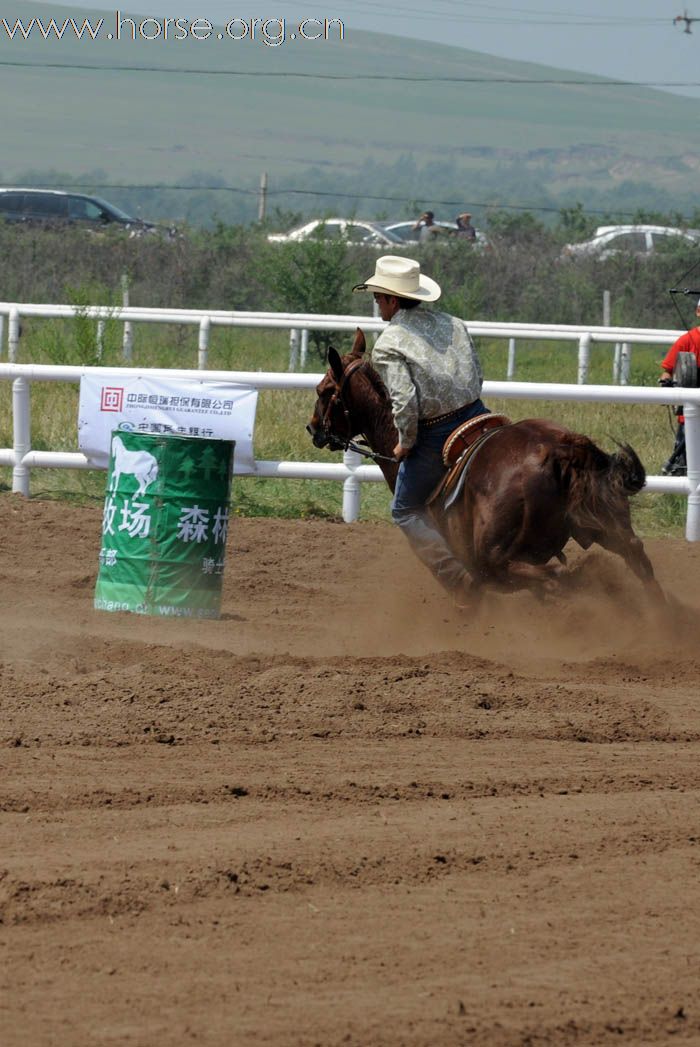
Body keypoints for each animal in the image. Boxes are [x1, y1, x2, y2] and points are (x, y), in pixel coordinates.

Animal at [305, 330, 661, 603]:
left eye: (323, 390)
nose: (313, 429)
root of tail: (561, 448)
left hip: (495, 556)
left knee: (551, 573)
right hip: (607, 524)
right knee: (634, 557)